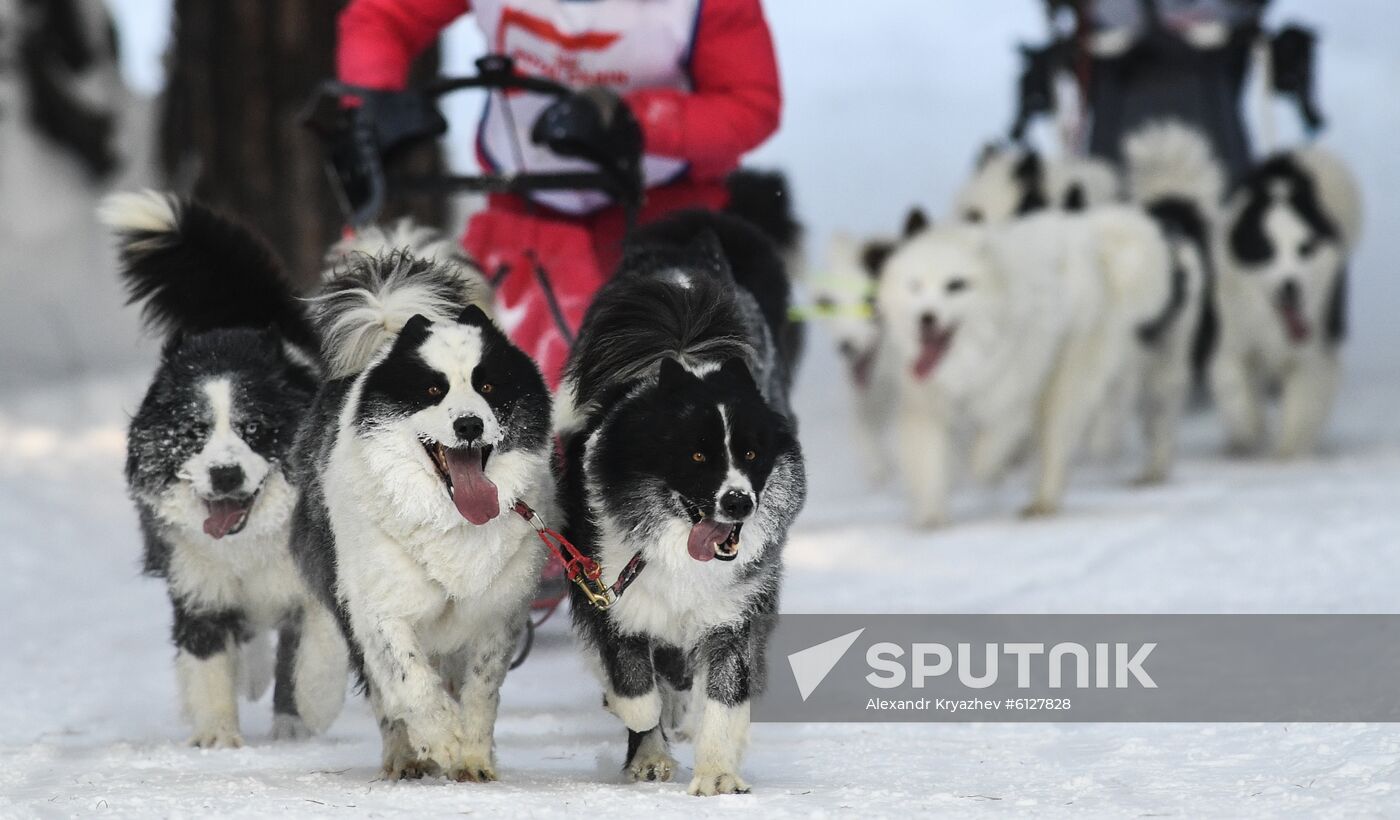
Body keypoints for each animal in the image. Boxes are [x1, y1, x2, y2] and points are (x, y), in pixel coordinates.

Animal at [105, 191, 347, 744]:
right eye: (193, 433)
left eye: (253, 428)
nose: (225, 475)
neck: (247, 543)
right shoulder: (198, 583)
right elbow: (207, 657)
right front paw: (217, 736)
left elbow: (315, 647)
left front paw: (308, 712)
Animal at [291, 233, 551, 783]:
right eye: (433, 390)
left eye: (488, 386)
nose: (470, 424)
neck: (449, 519)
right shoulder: (378, 606)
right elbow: (408, 678)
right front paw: (444, 740)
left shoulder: (498, 613)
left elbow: (480, 690)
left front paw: (472, 756)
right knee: (386, 693)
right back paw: (405, 756)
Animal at [551, 211, 806, 789]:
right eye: (697, 456)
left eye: (752, 453)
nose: (738, 503)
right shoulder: (608, 590)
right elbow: (632, 682)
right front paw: (648, 747)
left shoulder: (734, 608)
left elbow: (725, 693)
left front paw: (716, 774)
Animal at [1209, 146, 1360, 453]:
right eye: (1265, 250)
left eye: (1305, 248)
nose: (1291, 287)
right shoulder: (1233, 341)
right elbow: (1235, 389)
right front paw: (1250, 433)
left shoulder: (1311, 353)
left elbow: (1300, 408)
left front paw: (1288, 454)